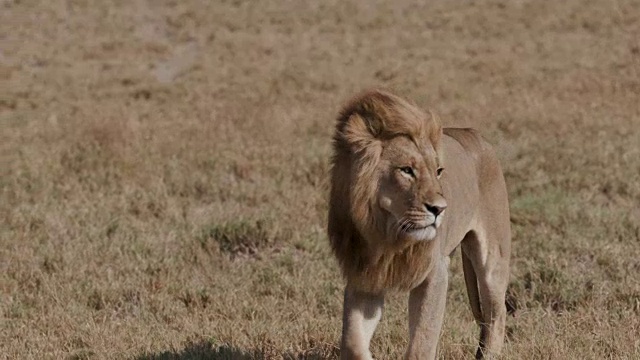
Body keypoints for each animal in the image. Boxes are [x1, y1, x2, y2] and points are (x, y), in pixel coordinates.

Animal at [328, 90, 512, 360]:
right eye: (406, 170)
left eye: (438, 171)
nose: (440, 209)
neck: (387, 235)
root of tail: (473, 133)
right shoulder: (365, 276)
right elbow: (352, 341)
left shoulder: (435, 272)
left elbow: (422, 342)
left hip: (494, 259)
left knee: (496, 319)